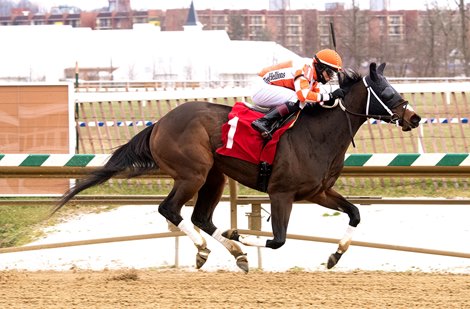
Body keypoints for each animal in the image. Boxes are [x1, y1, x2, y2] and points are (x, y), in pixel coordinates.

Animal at [53, 62, 420, 272]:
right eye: (386, 90)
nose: (414, 118)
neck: (318, 134)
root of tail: (159, 123)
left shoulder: (318, 192)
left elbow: (355, 213)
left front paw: (335, 256)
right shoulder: (281, 193)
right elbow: (277, 240)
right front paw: (239, 234)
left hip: (214, 176)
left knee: (200, 217)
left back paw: (228, 253)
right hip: (194, 173)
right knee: (170, 209)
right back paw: (206, 248)